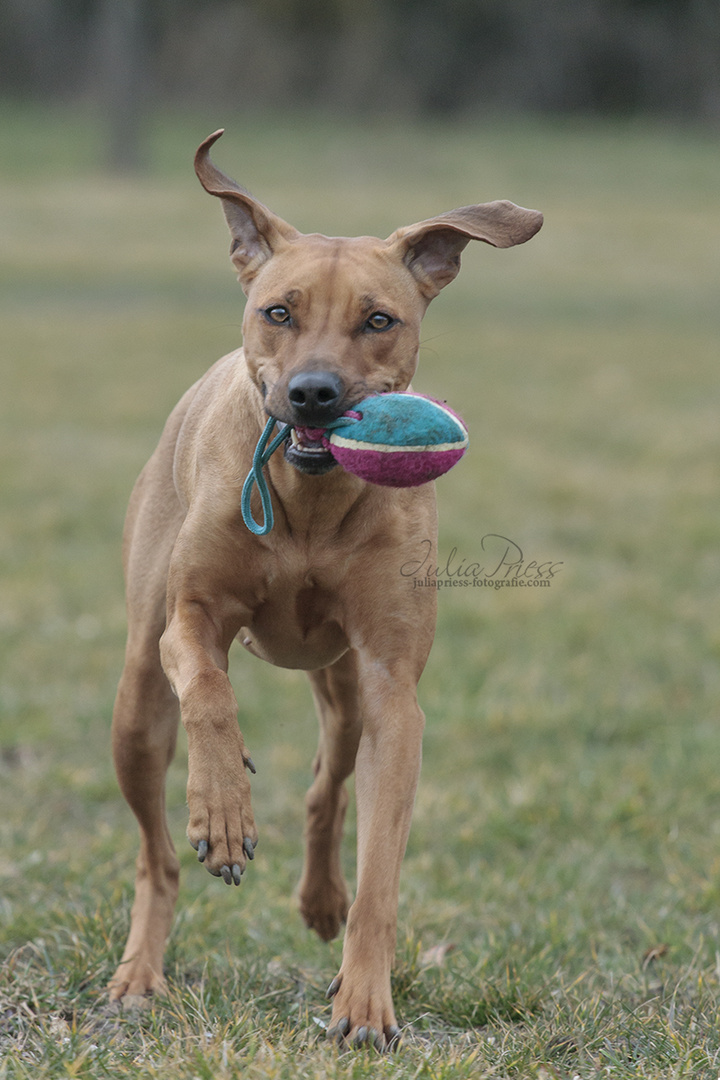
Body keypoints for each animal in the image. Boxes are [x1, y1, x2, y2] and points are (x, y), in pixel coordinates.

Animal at [110, 130, 539, 1049]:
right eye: (280, 312)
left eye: (378, 319)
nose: (313, 393)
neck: (307, 503)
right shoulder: (188, 621)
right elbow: (208, 690)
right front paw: (223, 813)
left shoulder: (392, 686)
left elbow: (381, 871)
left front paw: (365, 1004)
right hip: (133, 702)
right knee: (156, 853)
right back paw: (139, 971)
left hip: (342, 688)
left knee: (327, 784)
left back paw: (319, 898)